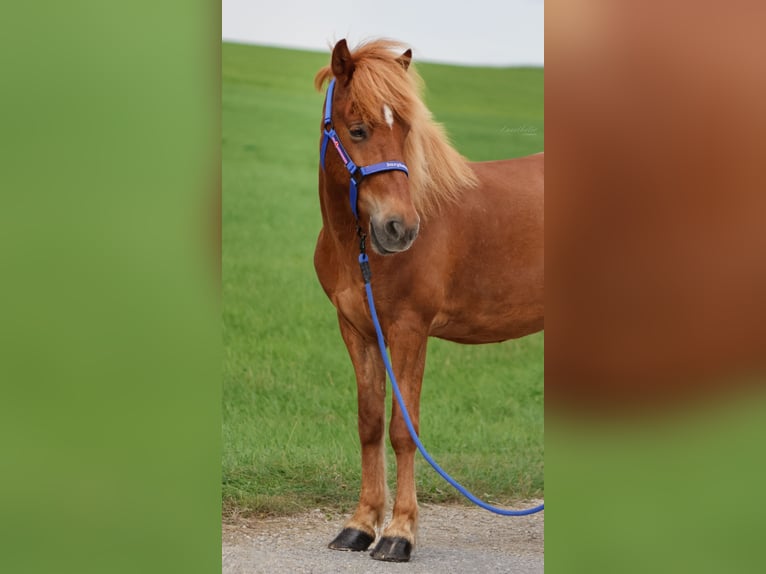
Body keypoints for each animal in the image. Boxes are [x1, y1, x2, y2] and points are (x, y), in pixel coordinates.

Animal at [314, 39, 544, 564]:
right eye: (357, 129)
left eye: (405, 130)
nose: (399, 229)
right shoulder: (357, 330)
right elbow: (370, 423)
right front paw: (359, 526)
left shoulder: (409, 330)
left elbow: (404, 430)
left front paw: (399, 533)